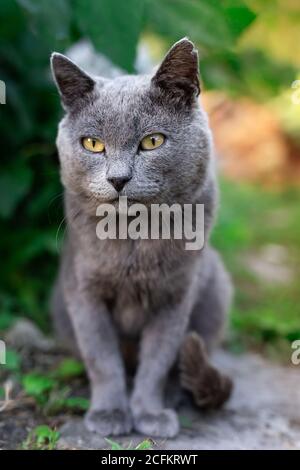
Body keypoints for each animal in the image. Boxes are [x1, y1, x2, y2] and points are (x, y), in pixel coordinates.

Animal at [49, 38, 232, 438]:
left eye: (152, 141)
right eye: (92, 144)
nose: (118, 179)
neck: (134, 239)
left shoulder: (176, 296)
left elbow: (157, 361)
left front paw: (149, 413)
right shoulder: (83, 291)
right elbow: (102, 359)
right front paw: (109, 413)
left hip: (216, 289)